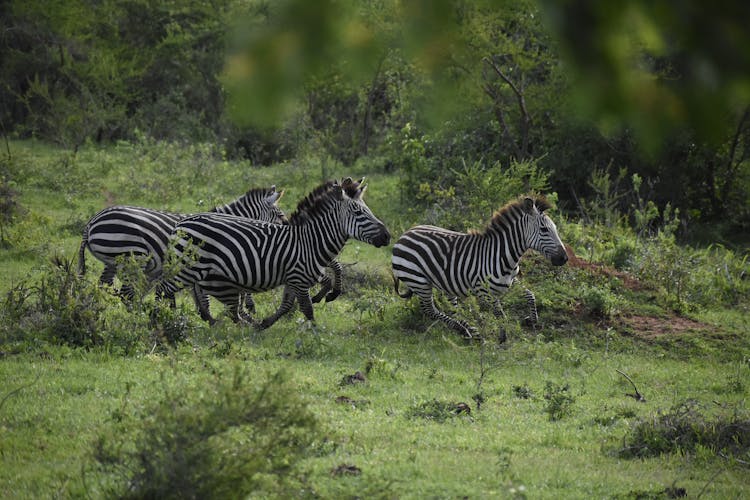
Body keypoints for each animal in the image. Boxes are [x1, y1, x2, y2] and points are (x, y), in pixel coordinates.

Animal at [160, 179, 394, 328]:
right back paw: (161, 316)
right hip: (187, 267)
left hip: (199, 270)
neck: (309, 241)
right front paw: (315, 334)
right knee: (166, 288)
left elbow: (286, 306)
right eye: (358, 212)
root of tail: (182, 222)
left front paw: (263, 324)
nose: (388, 236)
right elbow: (307, 309)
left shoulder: (294, 279)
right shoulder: (299, 279)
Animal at [394, 195, 568, 340]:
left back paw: (469, 329)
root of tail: (405, 233)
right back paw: (463, 329)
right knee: (429, 310)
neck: (503, 256)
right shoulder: (483, 291)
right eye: (544, 229)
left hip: (442, 283)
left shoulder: (511, 281)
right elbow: (500, 314)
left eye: (555, 228)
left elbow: (530, 295)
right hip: (419, 281)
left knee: (453, 309)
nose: (564, 258)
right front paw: (503, 337)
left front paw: (531, 320)